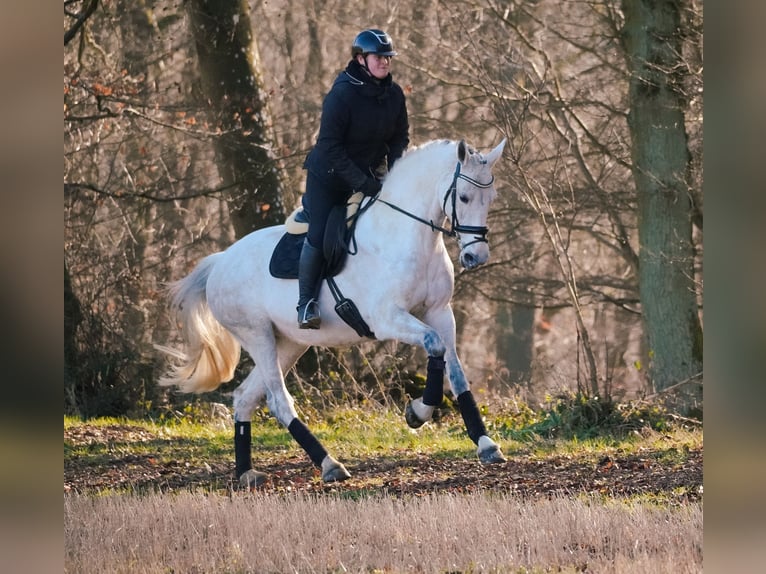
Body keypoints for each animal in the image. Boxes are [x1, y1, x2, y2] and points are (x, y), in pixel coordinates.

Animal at [158, 137, 510, 488]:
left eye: (491, 198)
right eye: (463, 197)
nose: (476, 256)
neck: (406, 236)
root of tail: (219, 262)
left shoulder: (439, 312)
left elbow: (456, 373)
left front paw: (486, 444)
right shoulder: (387, 319)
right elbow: (434, 344)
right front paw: (417, 413)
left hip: (289, 342)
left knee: (245, 397)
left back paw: (246, 472)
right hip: (256, 335)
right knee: (278, 401)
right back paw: (329, 464)